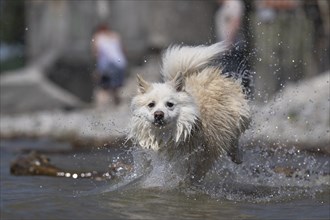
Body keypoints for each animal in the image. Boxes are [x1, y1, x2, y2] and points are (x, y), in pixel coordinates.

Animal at [128, 42, 250, 181]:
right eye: (151, 105)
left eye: (170, 104)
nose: (158, 114)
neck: (166, 136)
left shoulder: (190, 162)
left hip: (239, 117)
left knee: (234, 137)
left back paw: (236, 156)